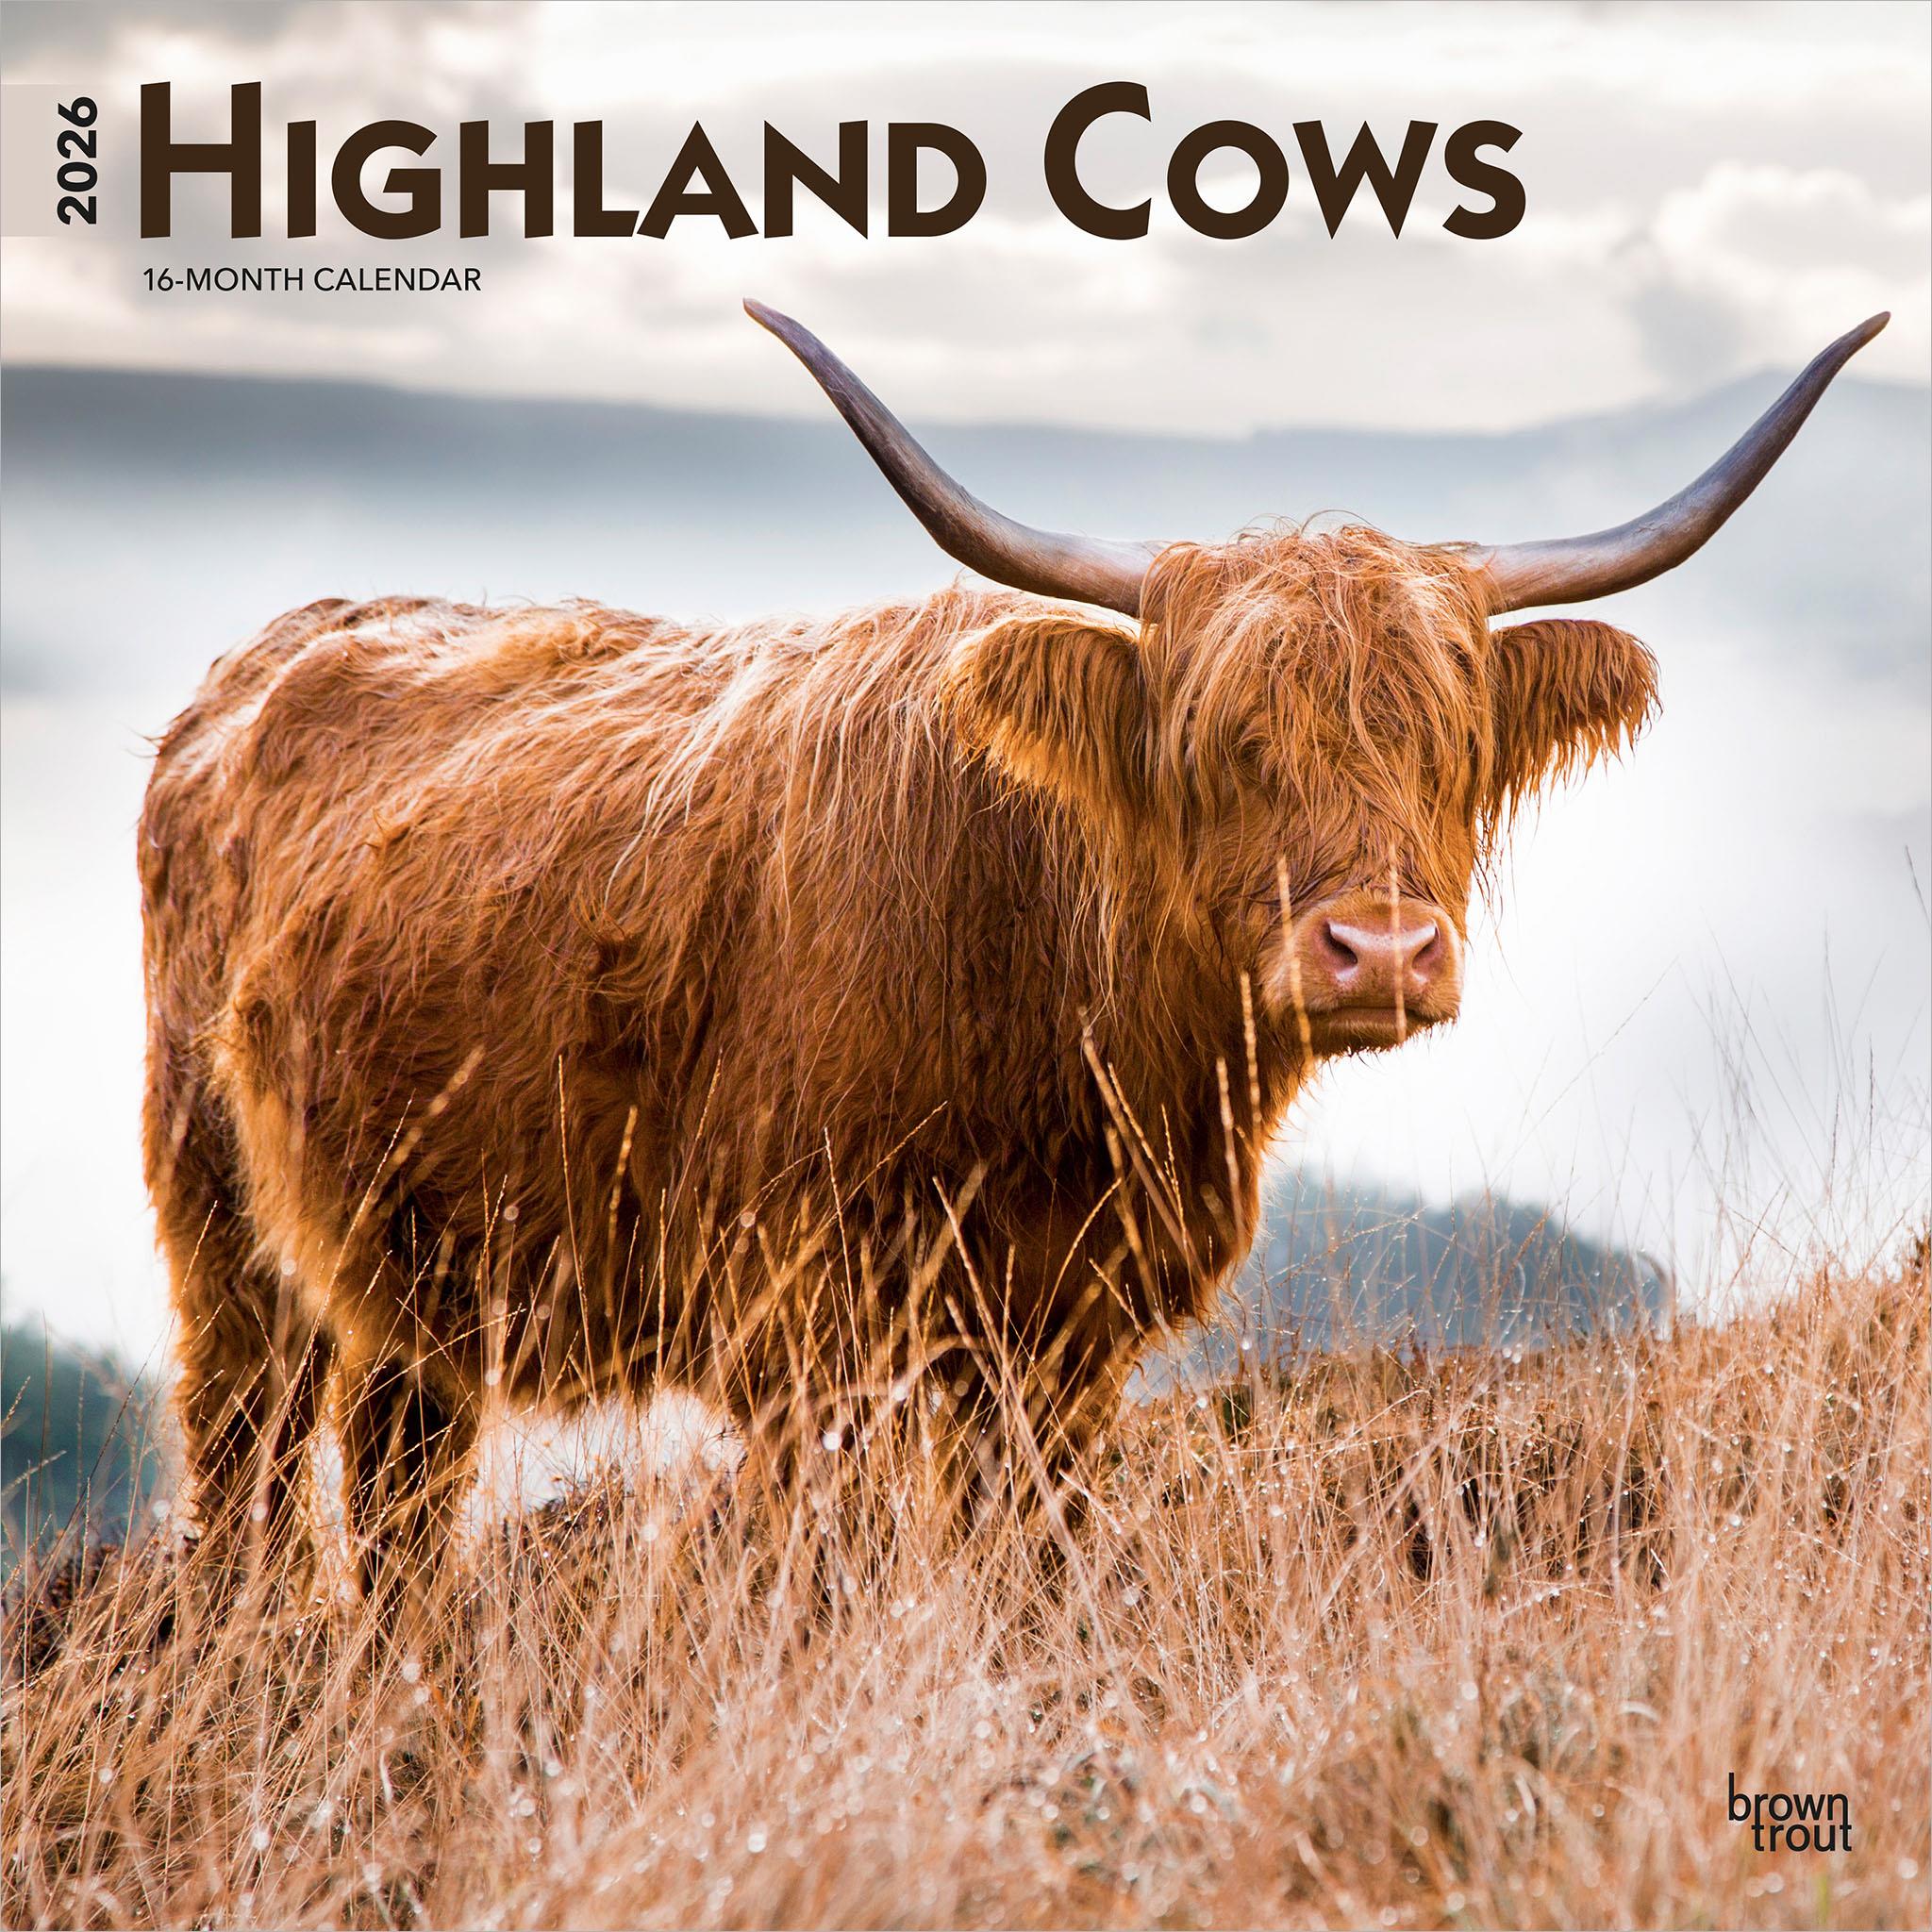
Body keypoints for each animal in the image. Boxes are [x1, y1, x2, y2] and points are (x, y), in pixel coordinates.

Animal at [138, 306, 1885, 1593]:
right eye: (1224, 744)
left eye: (1449, 745)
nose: (1378, 951)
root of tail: (262, 658)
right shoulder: (810, 1327)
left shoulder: (1066, 1342)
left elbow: (1030, 1564)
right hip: (222, 1224)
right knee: (246, 1468)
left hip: (412, 1274)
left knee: (396, 1488)